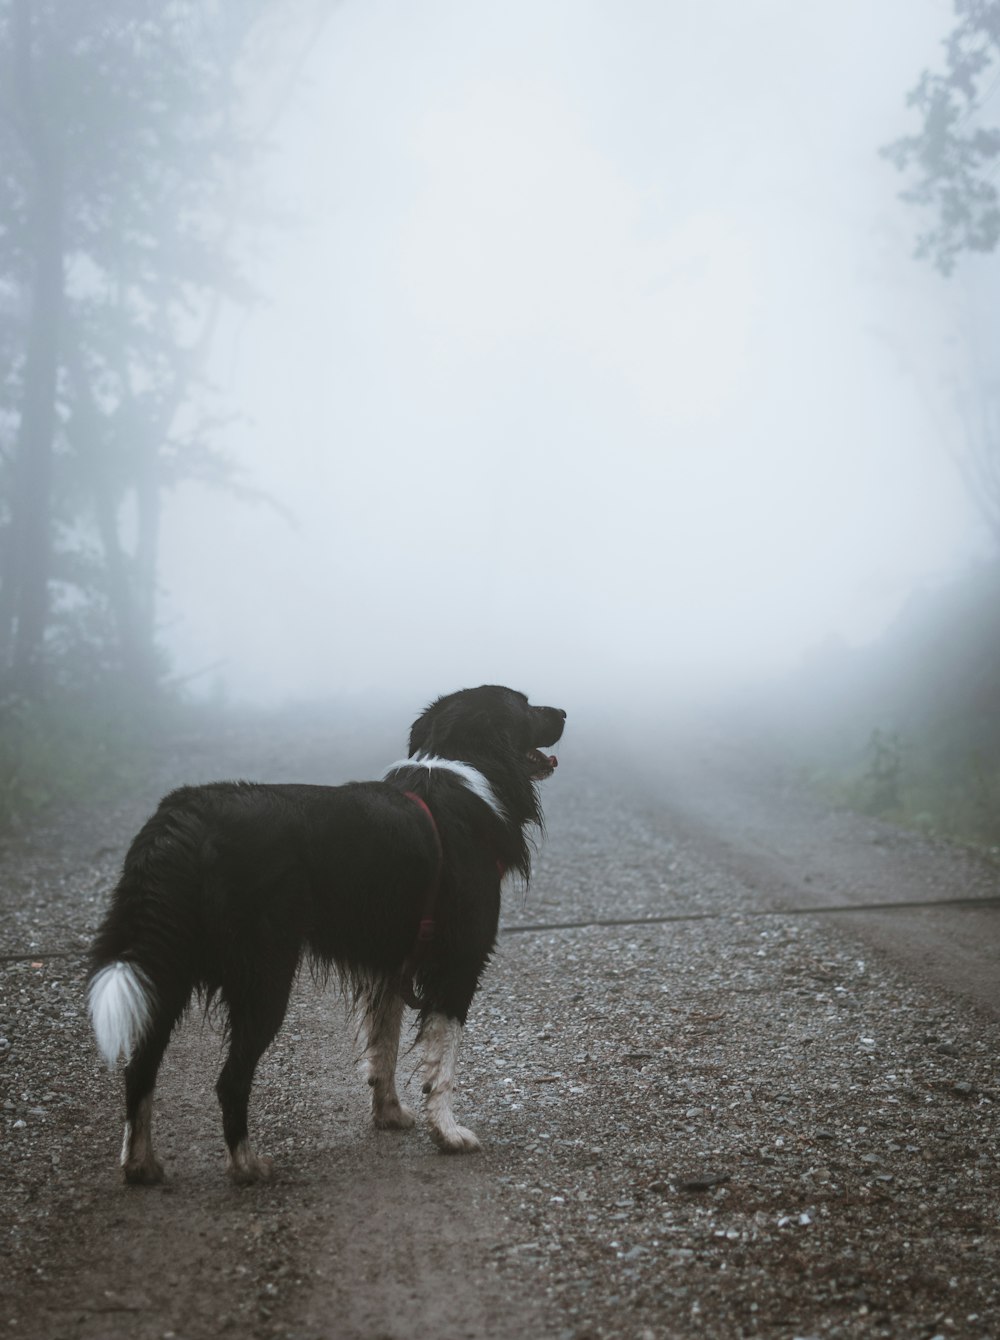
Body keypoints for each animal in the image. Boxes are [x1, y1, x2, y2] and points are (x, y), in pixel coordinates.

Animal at [87, 691, 560, 1184]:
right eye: (525, 704)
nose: (563, 713)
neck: (466, 764)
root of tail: (180, 816)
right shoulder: (458, 963)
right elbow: (441, 1064)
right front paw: (448, 1134)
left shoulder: (393, 963)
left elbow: (384, 1048)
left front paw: (389, 1114)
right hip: (264, 975)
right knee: (229, 1080)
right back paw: (246, 1164)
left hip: (165, 967)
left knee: (140, 1068)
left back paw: (141, 1163)